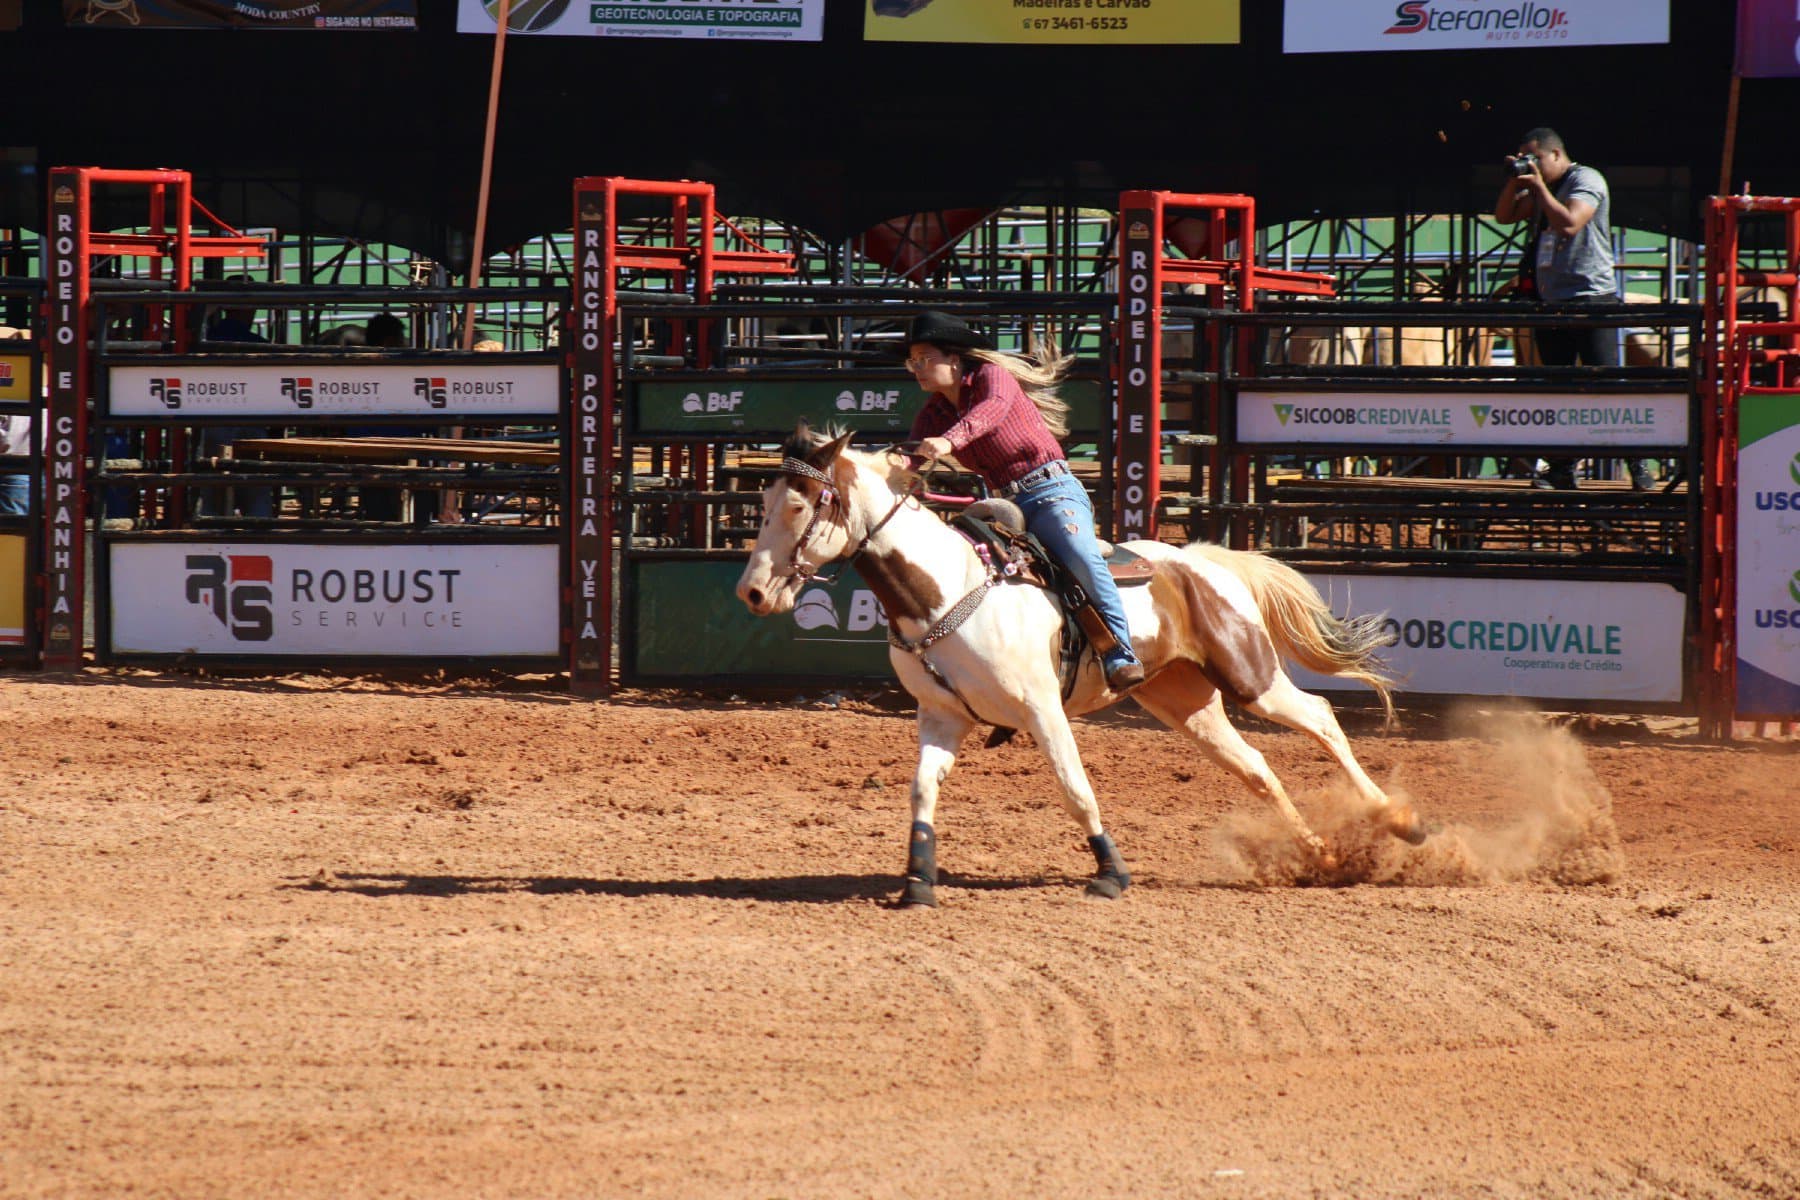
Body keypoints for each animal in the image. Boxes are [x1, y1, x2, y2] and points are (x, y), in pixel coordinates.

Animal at [735, 425, 1427, 906]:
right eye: (763, 502)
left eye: (801, 505)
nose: (753, 592)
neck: (948, 589)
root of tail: (1204, 558)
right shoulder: (941, 717)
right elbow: (922, 791)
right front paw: (918, 882)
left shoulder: (1043, 709)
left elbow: (1076, 790)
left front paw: (1111, 874)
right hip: (1184, 701)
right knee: (1256, 767)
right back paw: (1321, 858)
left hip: (1250, 678)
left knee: (1323, 717)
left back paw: (1402, 823)